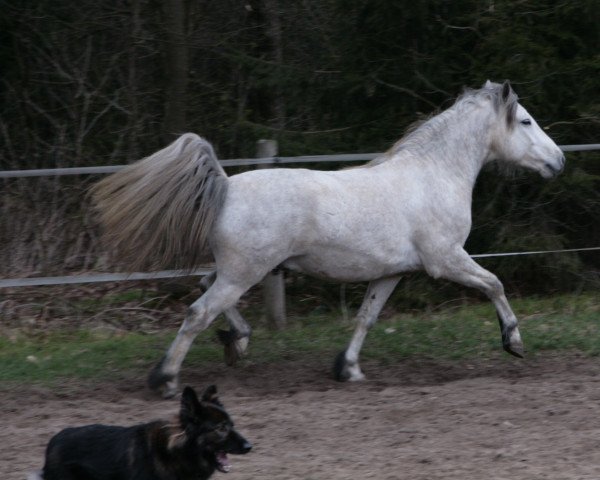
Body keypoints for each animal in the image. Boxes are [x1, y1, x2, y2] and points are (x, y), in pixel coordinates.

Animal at [89, 79, 564, 398]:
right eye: (526, 120)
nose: (558, 161)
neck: (434, 175)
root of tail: (225, 185)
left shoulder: (392, 273)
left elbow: (367, 318)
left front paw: (348, 369)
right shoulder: (445, 260)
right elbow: (495, 284)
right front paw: (514, 342)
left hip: (239, 272)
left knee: (208, 294)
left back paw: (237, 342)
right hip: (244, 273)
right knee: (197, 312)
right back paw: (166, 380)